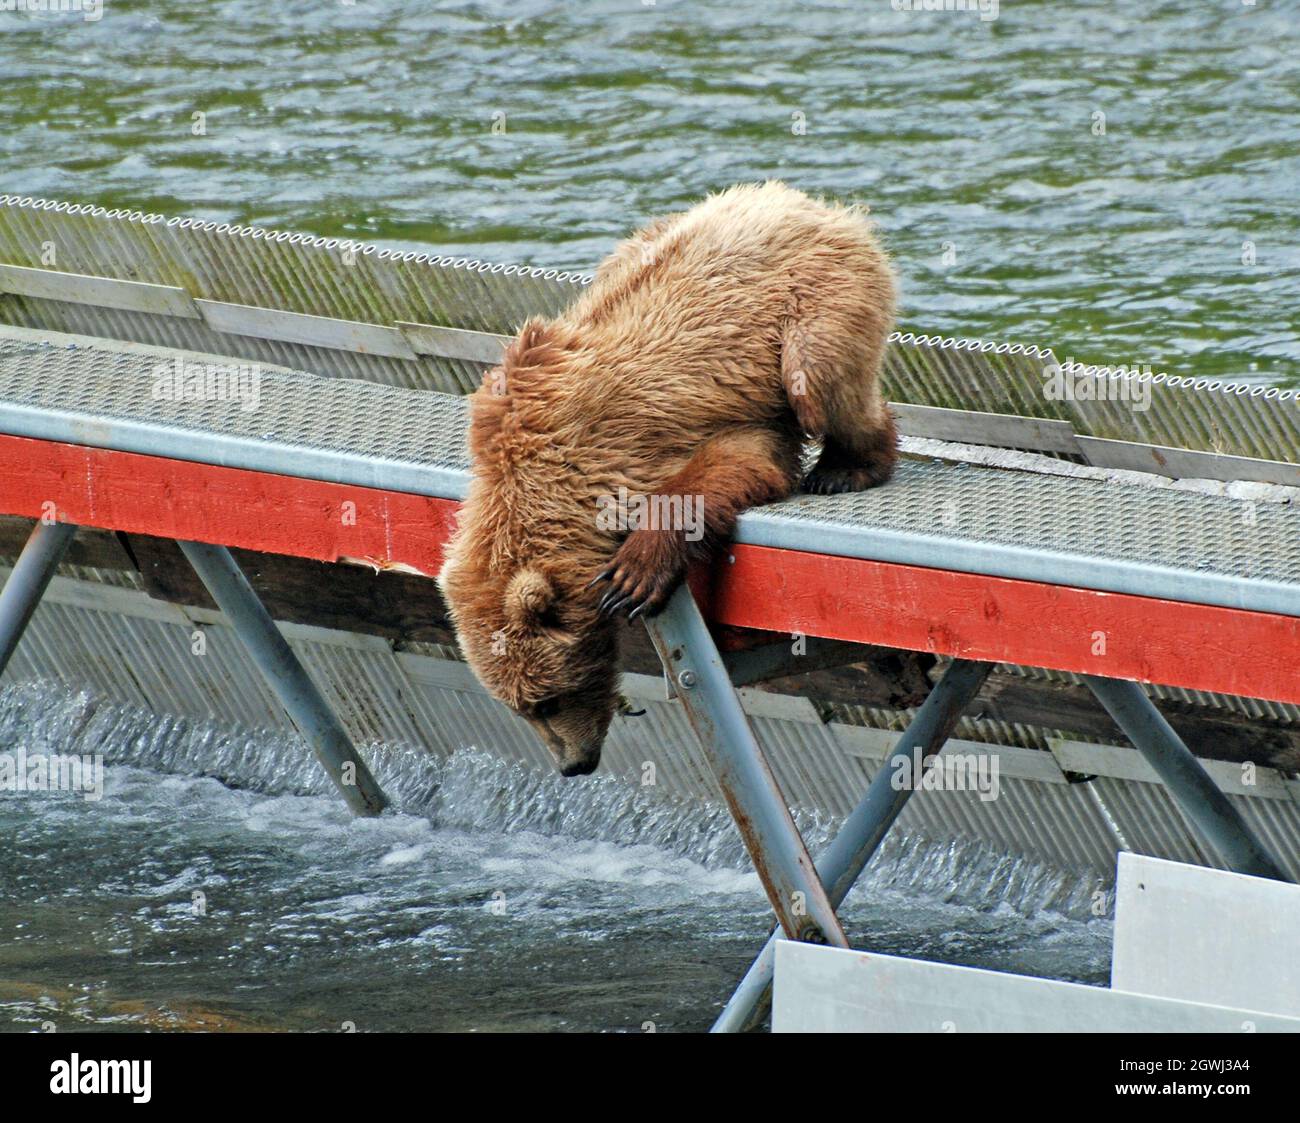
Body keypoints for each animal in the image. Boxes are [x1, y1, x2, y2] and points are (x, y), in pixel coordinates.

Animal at [438, 181, 897, 777]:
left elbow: (735, 463)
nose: (571, 765)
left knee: (819, 379)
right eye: (518, 707)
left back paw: (847, 467)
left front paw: (635, 573)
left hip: (816, 294)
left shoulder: (644, 433)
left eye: (547, 700)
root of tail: (797, 198)